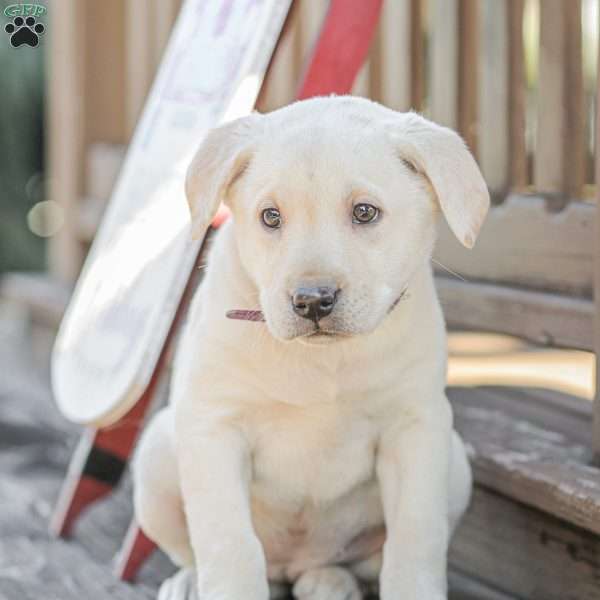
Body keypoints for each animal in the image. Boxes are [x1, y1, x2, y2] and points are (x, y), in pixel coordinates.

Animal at [134, 96, 490, 596]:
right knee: (196, 552)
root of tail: (293, 565)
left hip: (454, 463)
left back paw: (329, 581)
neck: (324, 360)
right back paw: (190, 583)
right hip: (157, 456)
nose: (312, 301)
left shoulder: (415, 427)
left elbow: (415, 539)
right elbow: (228, 543)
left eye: (365, 212)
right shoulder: (213, 428)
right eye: (270, 217)